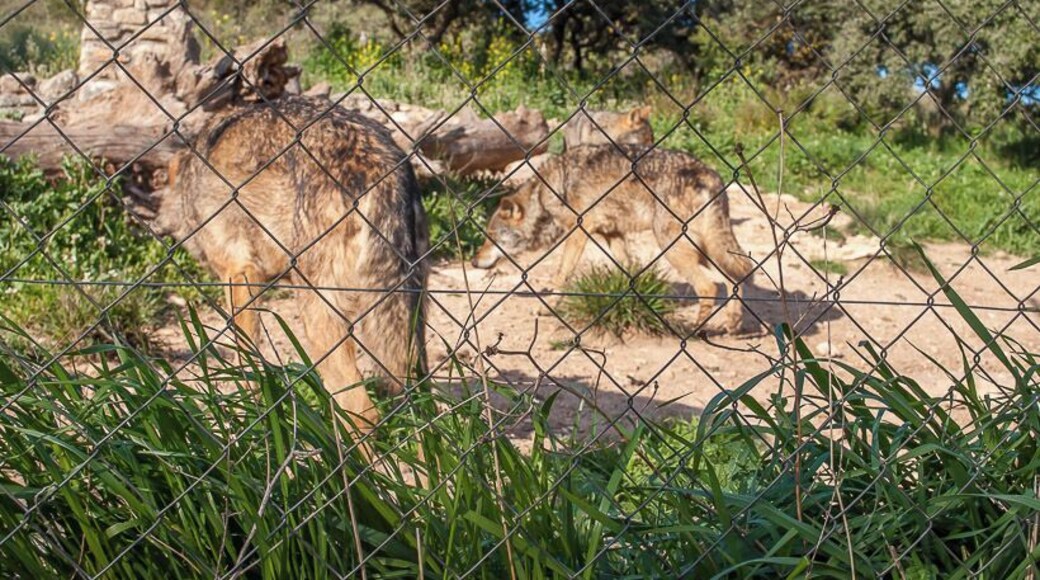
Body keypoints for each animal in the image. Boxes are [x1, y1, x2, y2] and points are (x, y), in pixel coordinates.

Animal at [156, 96, 428, 432]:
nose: (155, 226)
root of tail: (385, 167)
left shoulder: (239, 274)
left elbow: (246, 360)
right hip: (410, 323)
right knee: (420, 405)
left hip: (319, 318)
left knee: (362, 412)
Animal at [471, 145, 752, 332]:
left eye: (491, 236)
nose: (474, 262)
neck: (544, 194)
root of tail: (709, 175)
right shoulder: (613, 234)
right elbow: (628, 270)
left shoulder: (578, 232)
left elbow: (561, 274)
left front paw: (545, 307)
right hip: (706, 249)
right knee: (735, 278)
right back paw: (734, 325)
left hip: (675, 247)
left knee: (709, 287)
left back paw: (694, 330)